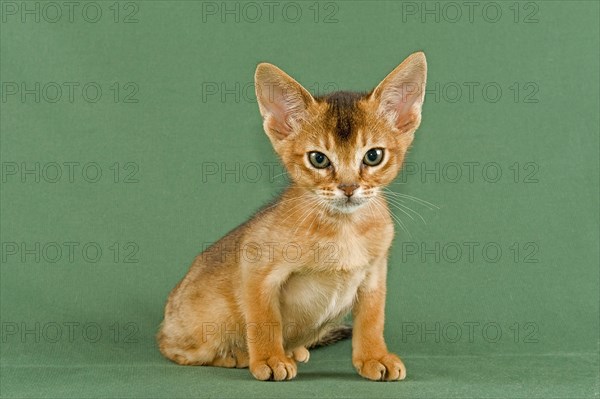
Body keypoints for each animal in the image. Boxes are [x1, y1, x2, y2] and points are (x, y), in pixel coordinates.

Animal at [156, 51, 426, 382]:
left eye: (373, 156)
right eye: (318, 159)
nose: (349, 187)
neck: (342, 229)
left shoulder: (375, 275)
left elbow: (372, 320)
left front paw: (374, 356)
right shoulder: (255, 265)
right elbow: (264, 320)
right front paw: (269, 359)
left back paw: (293, 350)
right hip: (205, 322)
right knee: (175, 349)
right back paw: (237, 355)